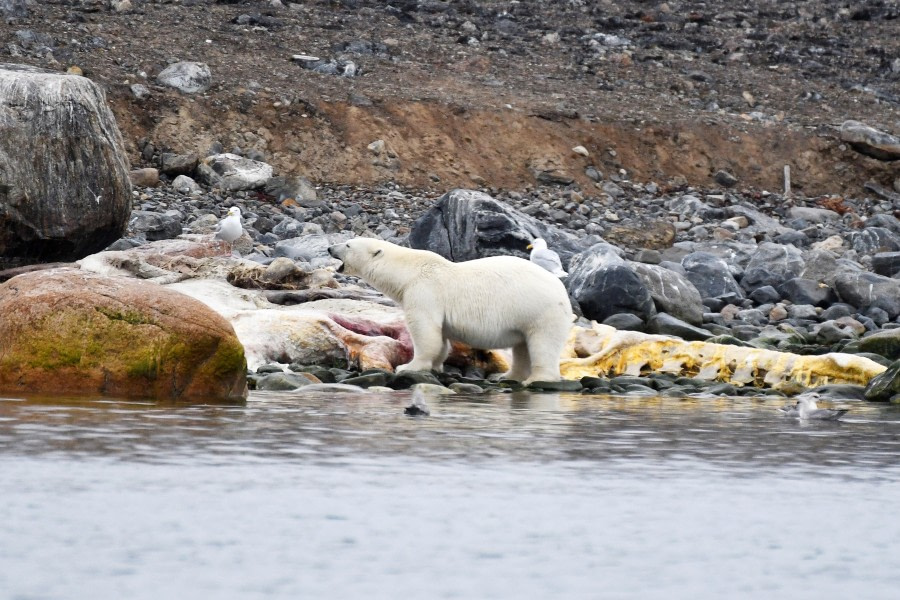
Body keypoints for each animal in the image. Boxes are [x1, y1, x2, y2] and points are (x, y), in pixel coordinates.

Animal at [326, 237, 572, 382]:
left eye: (348, 244)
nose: (329, 247)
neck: (408, 272)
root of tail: (564, 293)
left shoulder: (424, 292)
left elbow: (425, 331)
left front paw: (408, 367)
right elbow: (441, 339)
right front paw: (436, 367)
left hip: (540, 310)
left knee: (542, 344)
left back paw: (537, 379)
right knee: (521, 346)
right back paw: (510, 376)